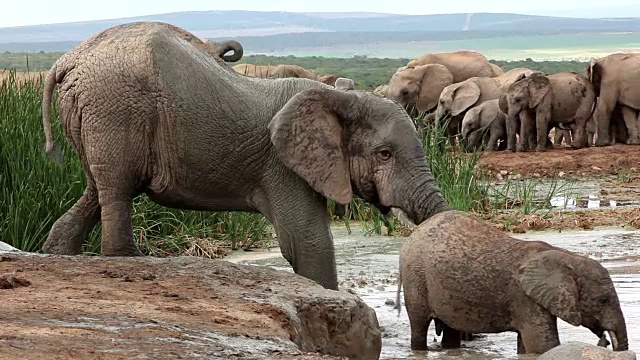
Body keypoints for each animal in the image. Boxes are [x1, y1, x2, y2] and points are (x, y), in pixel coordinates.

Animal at [40, 21, 450, 292]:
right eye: (384, 154)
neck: (339, 98)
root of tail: (68, 60)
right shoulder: (281, 166)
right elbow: (307, 242)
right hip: (115, 109)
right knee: (116, 189)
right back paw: (129, 260)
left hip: (94, 115)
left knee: (99, 189)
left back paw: (61, 252)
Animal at [398, 210, 628, 352]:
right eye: (602, 301)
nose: (604, 340)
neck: (568, 258)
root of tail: (415, 231)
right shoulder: (525, 298)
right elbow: (543, 346)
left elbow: (526, 347)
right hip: (414, 277)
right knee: (419, 325)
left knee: (451, 329)